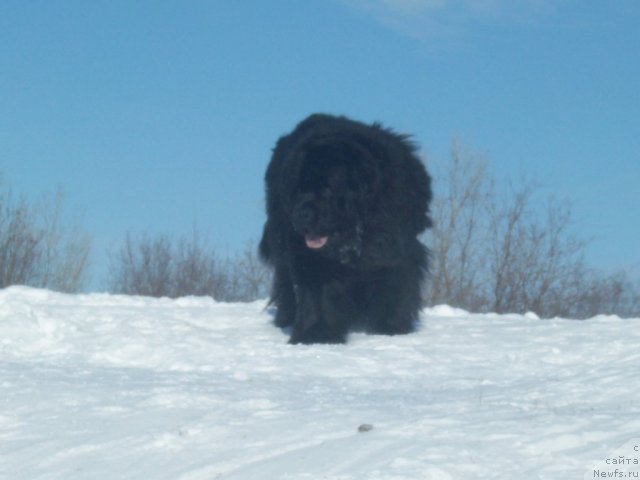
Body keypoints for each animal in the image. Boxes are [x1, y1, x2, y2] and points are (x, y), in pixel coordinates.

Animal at [258, 114, 432, 344]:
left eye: (328, 189)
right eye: (298, 190)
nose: (302, 214)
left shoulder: (394, 250)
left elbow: (395, 286)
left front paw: (391, 328)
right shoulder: (306, 254)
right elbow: (315, 292)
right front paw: (315, 335)